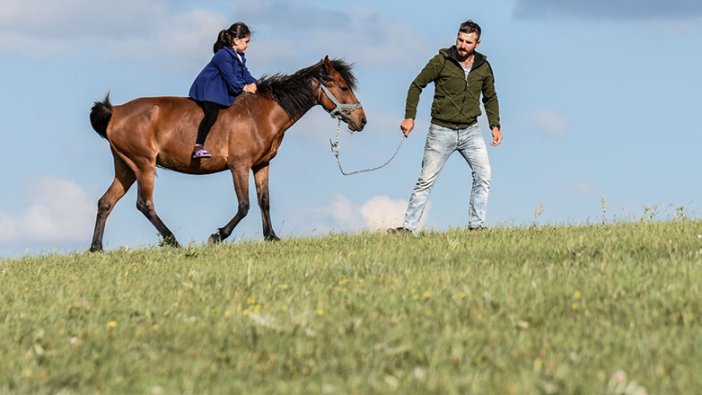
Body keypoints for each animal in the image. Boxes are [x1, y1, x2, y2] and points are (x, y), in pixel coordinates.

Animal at [88, 56, 368, 252]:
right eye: (343, 87)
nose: (362, 121)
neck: (262, 114)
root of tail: (115, 111)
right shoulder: (239, 166)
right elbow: (244, 205)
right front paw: (217, 236)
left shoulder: (261, 165)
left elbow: (264, 201)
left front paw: (271, 237)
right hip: (144, 165)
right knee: (144, 204)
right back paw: (172, 241)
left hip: (126, 168)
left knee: (106, 202)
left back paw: (96, 248)